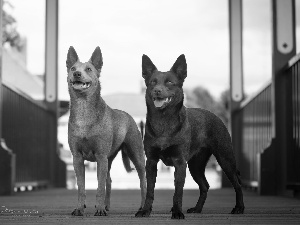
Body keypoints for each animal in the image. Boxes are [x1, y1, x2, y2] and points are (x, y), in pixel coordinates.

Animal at [66, 46, 146, 216]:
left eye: (89, 69)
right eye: (73, 68)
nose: (77, 74)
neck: (84, 109)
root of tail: (128, 116)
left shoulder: (101, 156)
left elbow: (99, 187)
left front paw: (100, 209)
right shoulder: (77, 157)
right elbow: (81, 187)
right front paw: (80, 208)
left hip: (136, 155)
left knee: (143, 182)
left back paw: (142, 207)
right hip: (109, 159)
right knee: (109, 181)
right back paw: (106, 205)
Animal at [135, 55, 245, 220]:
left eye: (169, 82)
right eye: (153, 82)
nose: (157, 90)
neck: (163, 120)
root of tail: (215, 116)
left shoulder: (180, 162)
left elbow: (178, 192)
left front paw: (177, 212)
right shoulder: (152, 162)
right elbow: (150, 191)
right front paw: (145, 211)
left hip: (225, 159)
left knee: (237, 184)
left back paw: (239, 207)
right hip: (195, 165)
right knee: (205, 186)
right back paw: (197, 209)